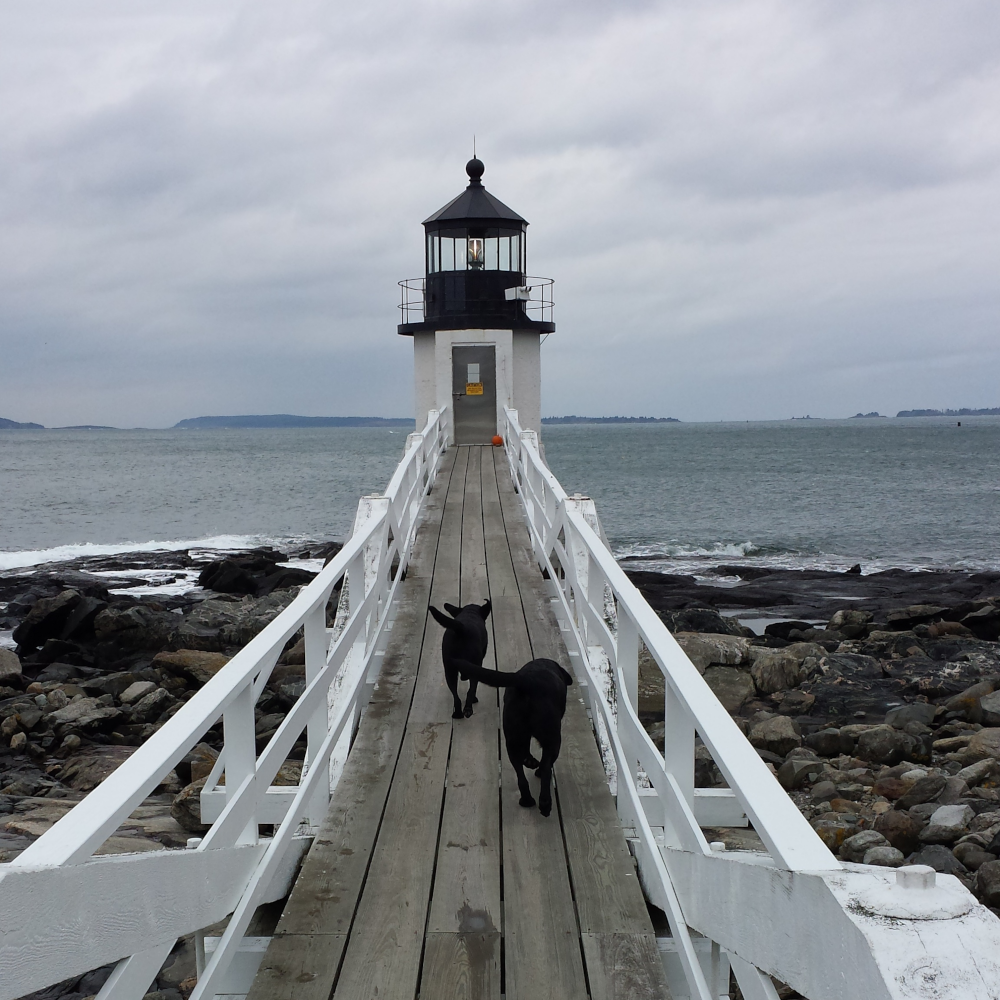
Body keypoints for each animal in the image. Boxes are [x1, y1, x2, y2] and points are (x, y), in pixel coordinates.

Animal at [452, 660, 572, 816]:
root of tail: (527, 682)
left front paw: (529, 760)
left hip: (512, 740)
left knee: (521, 777)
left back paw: (527, 800)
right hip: (553, 740)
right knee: (545, 769)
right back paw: (545, 803)